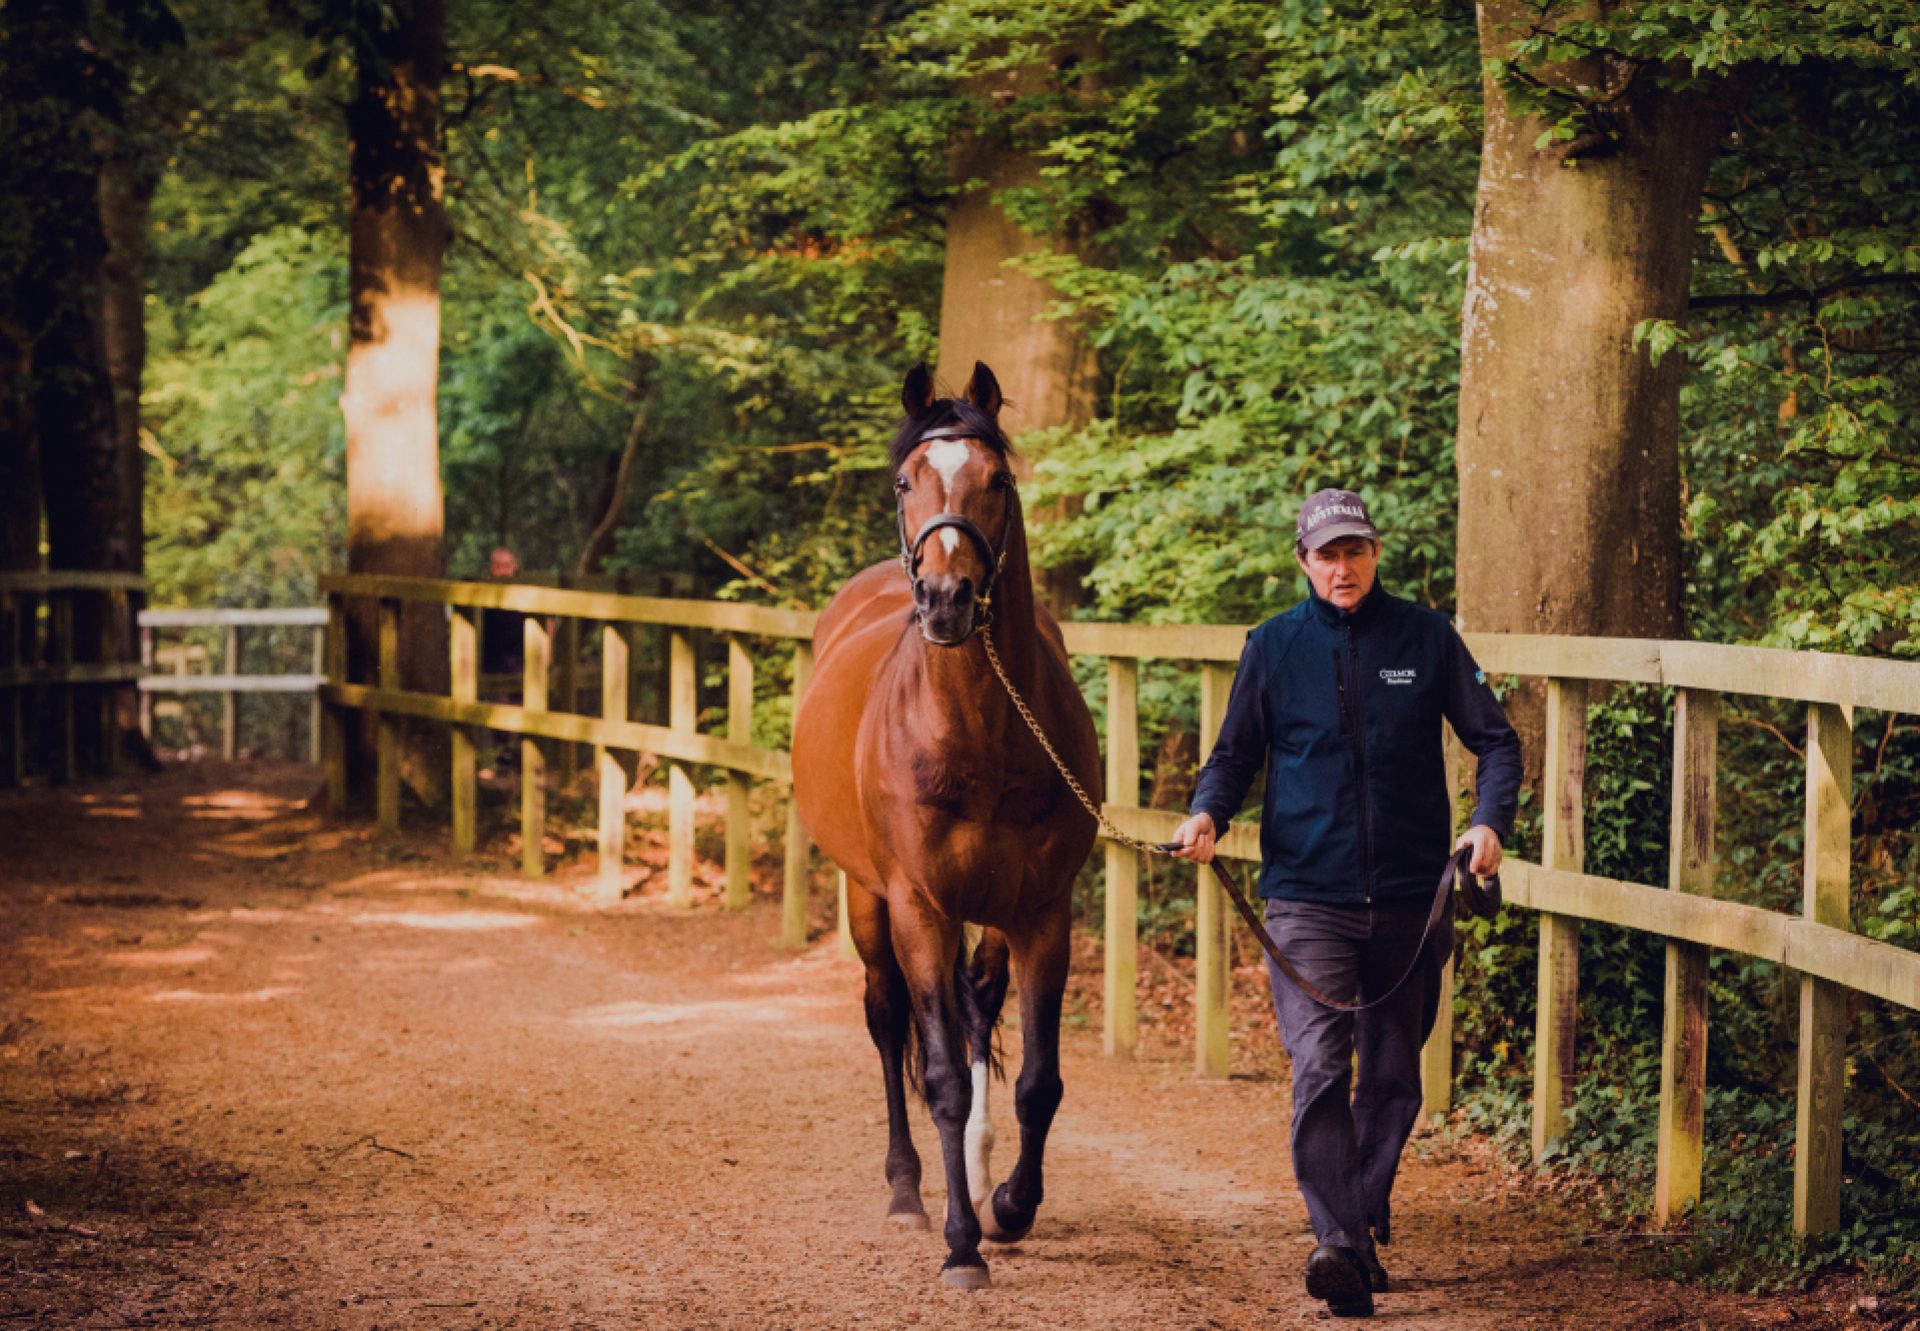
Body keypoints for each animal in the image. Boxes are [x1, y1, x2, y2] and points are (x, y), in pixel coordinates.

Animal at [791, 359, 1098, 1282]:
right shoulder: (919, 908)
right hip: (867, 900)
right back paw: (906, 1189)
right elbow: (941, 1077)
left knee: (979, 1008)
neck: (977, 739)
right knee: (889, 1018)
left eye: (997, 480)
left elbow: (1037, 1079)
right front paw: (963, 1243)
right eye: (905, 481)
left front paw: (1009, 1205)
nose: (947, 597)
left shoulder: (1043, 913)